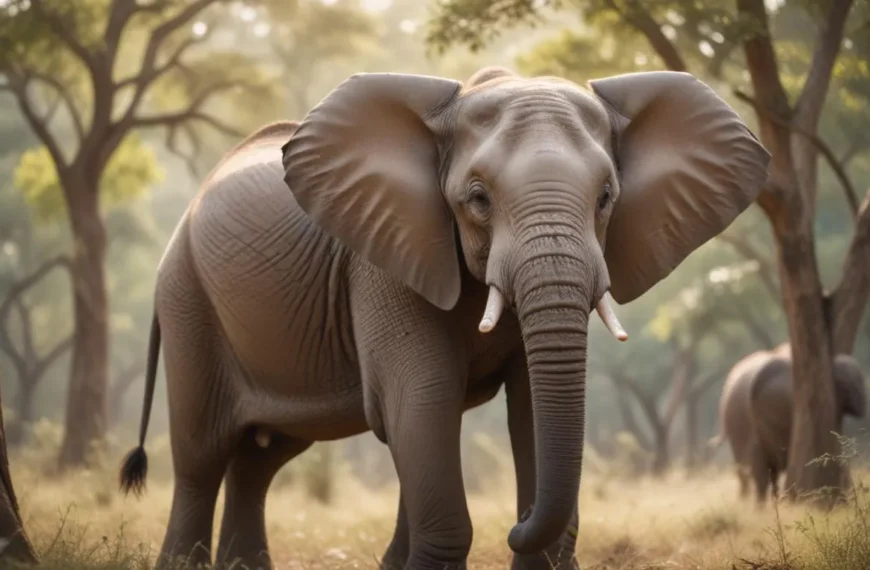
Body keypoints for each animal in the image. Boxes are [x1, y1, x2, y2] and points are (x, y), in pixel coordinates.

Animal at [118, 65, 769, 570]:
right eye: (477, 200)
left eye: (607, 197)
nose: (517, 523)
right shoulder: (383, 258)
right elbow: (422, 400)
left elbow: (529, 406)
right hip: (187, 298)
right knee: (202, 455)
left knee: (261, 459)